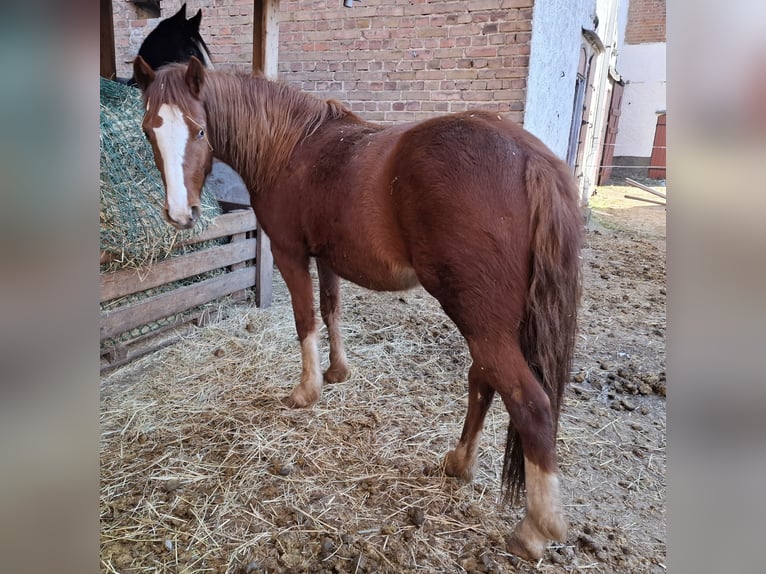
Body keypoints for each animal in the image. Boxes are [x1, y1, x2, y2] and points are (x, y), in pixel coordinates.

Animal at [135, 56, 584, 560]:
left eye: (199, 130)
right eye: (149, 130)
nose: (181, 214)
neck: (291, 147)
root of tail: (530, 158)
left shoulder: (291, 253)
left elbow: (305, 318)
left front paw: (305, 392)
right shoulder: (328, 257)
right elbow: (331, 310)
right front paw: (337, 372)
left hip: (479, 318)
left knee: (530, 404)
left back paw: (534, 529)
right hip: (489, 322)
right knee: (483, 380)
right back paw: (458, 462)